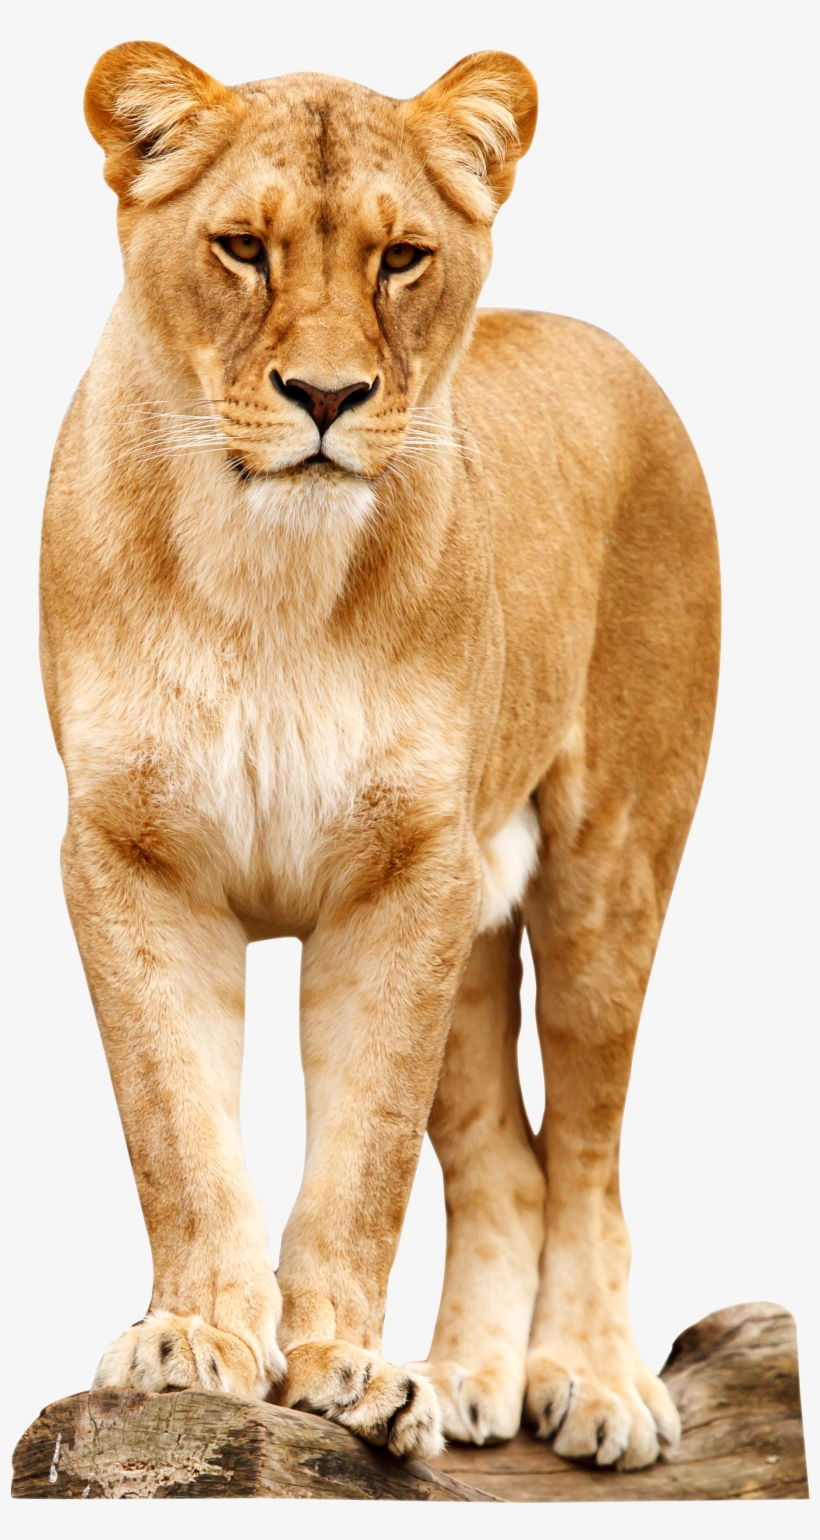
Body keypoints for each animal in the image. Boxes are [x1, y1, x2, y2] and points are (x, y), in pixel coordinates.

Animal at [39, 42, 720, 1469]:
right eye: (241, 248)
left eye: (403, 258)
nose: (327, 397)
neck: (266, 574)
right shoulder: (131, 856)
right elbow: (176, 1126)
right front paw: (193, 1338)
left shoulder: (405, 873)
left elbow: (364, 1155)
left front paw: (344, 1368)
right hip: (474, 921)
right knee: (507, 1160)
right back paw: (466, 1380)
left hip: (606, 874)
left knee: (587, 1149)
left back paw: (595, 1381)